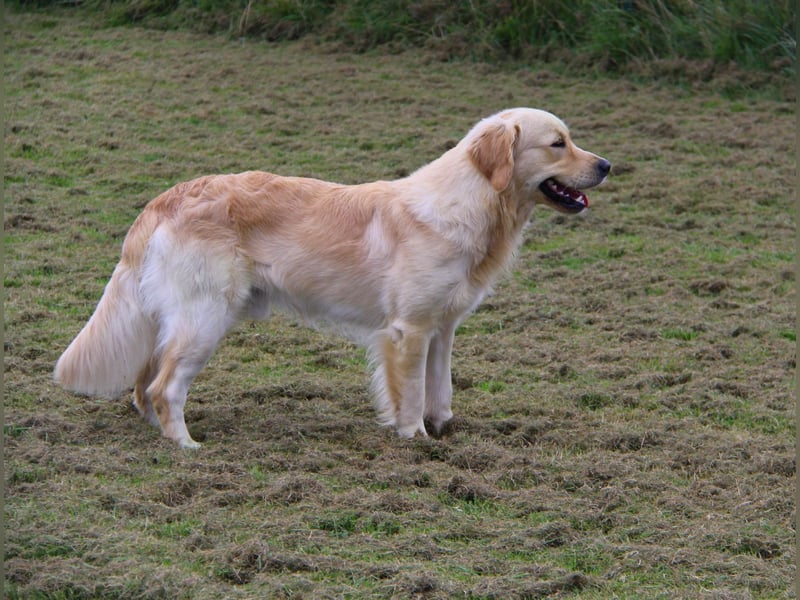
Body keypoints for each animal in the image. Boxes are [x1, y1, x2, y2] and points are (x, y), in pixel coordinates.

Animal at [53, 108, 608, 448]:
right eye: (557, 144)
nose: (606, 165)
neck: (472, 206)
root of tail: (168, 196)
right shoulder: (408, 330)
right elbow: (410, 394)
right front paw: (416, 439)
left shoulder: (442, 328)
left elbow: (441, 387)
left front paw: (443, 429)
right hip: (205, 318)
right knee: (165, 385)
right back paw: (185, 443)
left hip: (173, 319)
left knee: (144, 383)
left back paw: (156, 430)